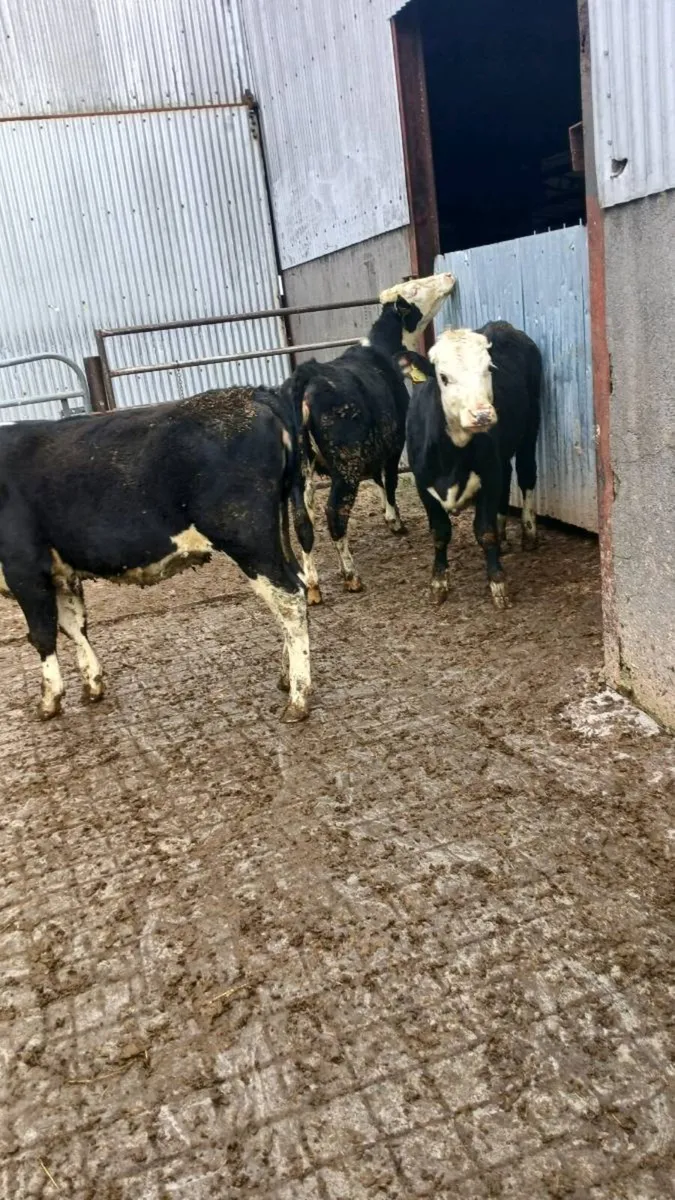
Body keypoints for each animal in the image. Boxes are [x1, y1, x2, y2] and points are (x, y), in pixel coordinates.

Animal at [0, 386, 313, 722]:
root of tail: (256, 395)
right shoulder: (61, 572)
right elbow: (74, 625)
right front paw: (92, 684)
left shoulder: (24, 570)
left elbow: (42, 634)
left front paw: (49, 700)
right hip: (275, 535)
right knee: (294, 589)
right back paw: (286, 677)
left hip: (249, 540)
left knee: (289, 599)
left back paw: (298, 698)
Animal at [288, 273, 455, 603]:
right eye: (415, 288)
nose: (447, 275)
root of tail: (308, 376)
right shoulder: (393, 443)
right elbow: (389, 481)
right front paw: (395, 521)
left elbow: (378, 479)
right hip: (346, 466)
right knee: (334, 514)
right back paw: (351, 576)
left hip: (301, 473)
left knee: (303, 520)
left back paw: (312, 585)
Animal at [403, 320, 542, 609]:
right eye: (444, 377)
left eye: (488, 369)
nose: (482, 415)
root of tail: (501, 324)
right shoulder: (422, 484)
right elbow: (440, 533)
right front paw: (438, 583)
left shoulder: (489, 475)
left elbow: (484, 531)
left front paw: (498, 583)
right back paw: (503, 534)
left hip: (531, 425)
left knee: (526, 473)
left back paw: (528, 532)